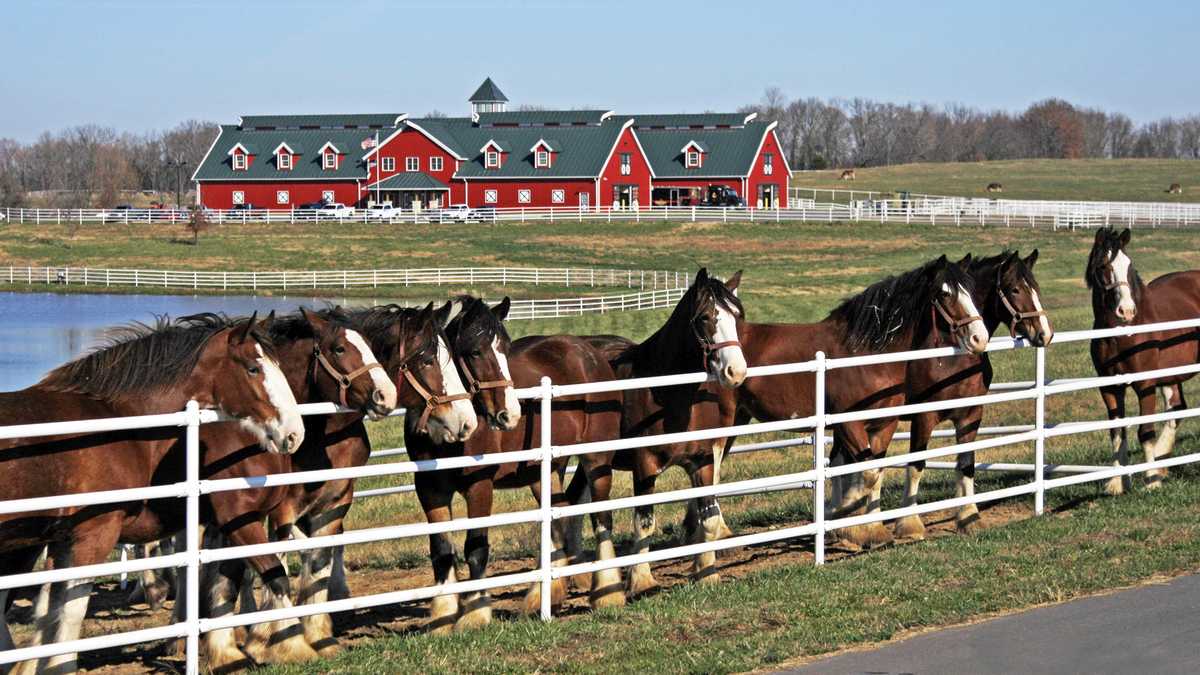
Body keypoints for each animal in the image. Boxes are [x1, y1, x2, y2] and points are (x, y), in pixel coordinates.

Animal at [0, 314, 304, 672]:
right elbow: (70, 614)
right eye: (254, 368)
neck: (118, 423)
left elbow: (51, 614)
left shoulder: (62, 540)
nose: (294, 432)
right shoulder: (93, 536)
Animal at [892, 249, 1051, 538]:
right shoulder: (923, 418)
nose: (1045, 333)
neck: (951, 358)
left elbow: (966, 462)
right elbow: (916, 465)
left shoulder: (970, 414)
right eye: (1014, 289)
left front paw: (968, 516)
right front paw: (909, 523)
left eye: (1035, 288)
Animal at [1089, 228, 1200, 492]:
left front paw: (1151, 481)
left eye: (1129, 265)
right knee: (1177, 409)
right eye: (1104, 266)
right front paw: (1117, 483)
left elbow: (1146, 431)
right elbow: (1116, 432)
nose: (1126, 310)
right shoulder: (1109, 387)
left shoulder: (1145, 385)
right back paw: (1161, 462)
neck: (1122, 334)